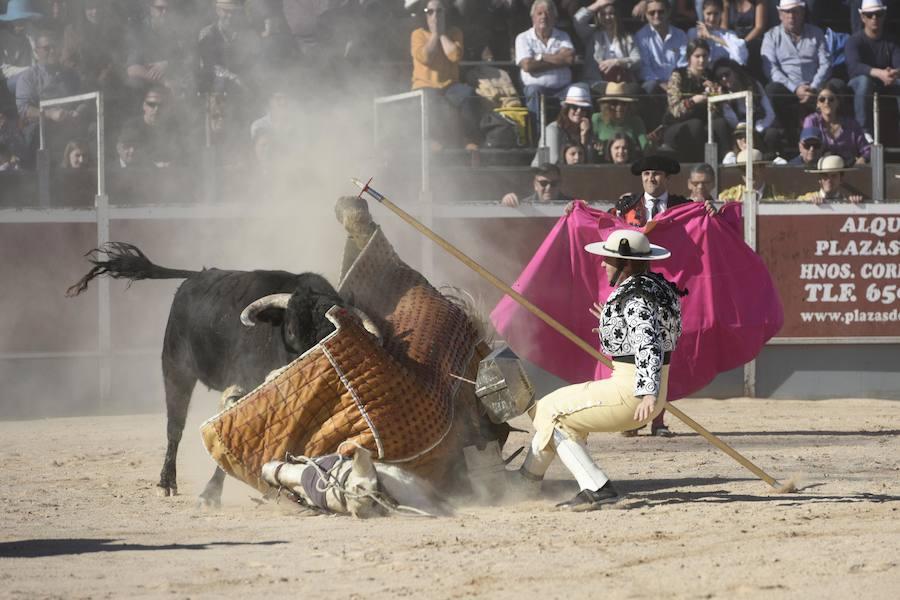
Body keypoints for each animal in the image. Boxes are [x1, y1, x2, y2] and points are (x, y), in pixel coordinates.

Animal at [66, 241, 376, 504]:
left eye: (331, 334)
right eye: (290, 330)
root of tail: (195, 277)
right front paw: (211, 493)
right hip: (175, 367)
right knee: (175, 427)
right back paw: (167, 483)